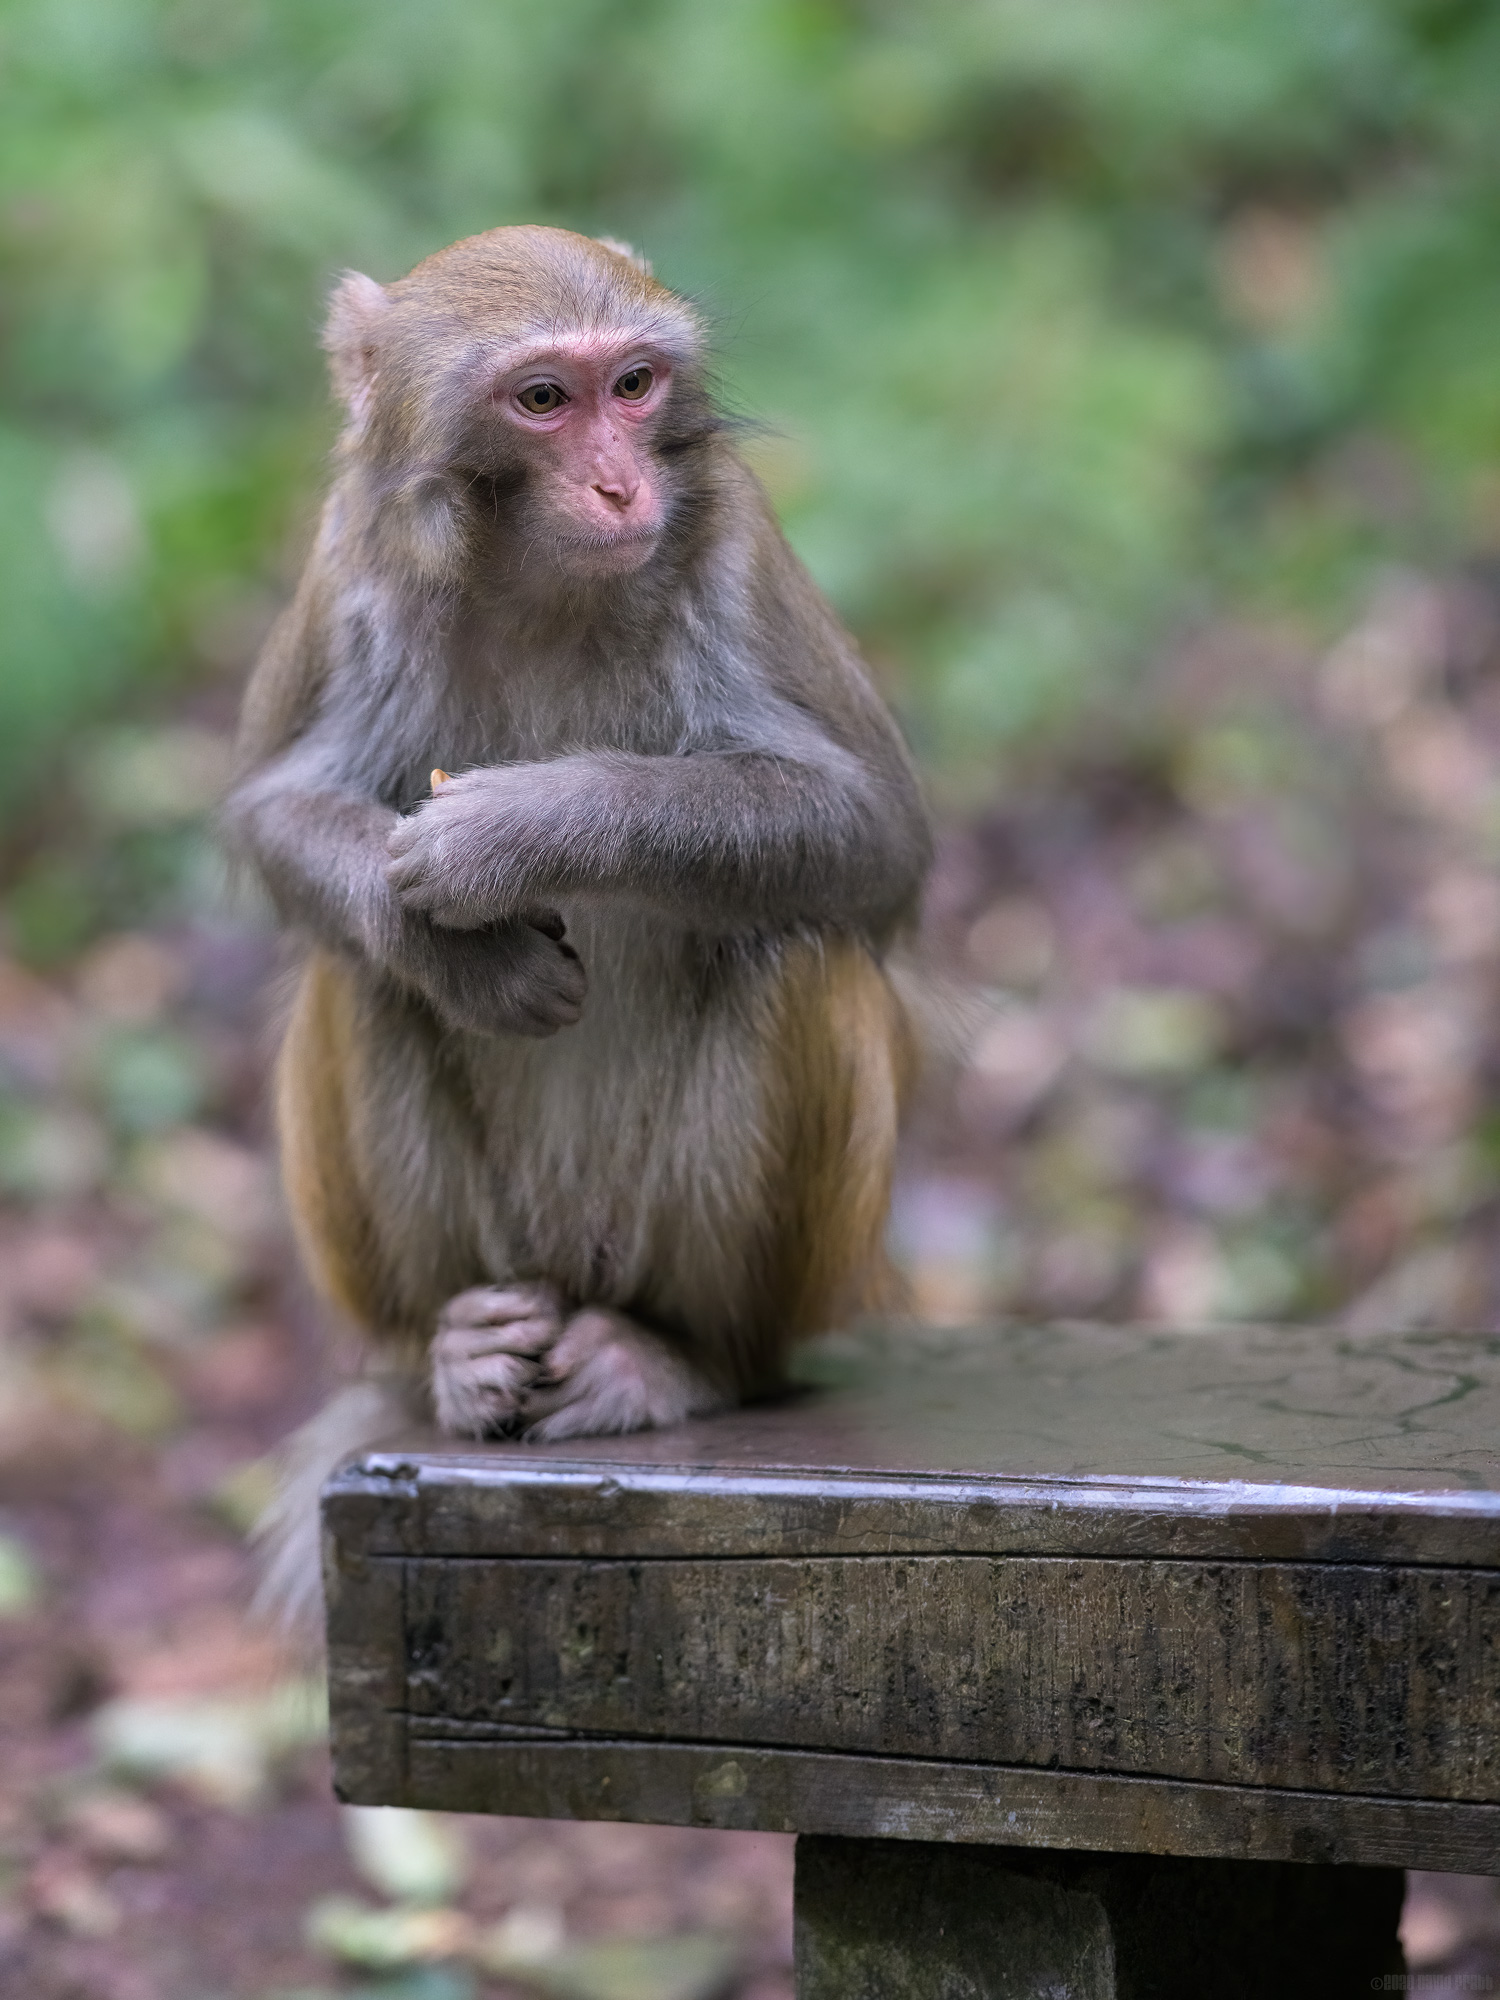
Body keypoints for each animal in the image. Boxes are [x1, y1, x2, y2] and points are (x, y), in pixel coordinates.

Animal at [226, 226, 931, 1627]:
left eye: (637, 386)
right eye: (545, 398)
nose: (619, 487)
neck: (536, 581)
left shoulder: (736, 547)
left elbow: (874, 840)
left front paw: (527, 824)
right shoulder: (351, 563)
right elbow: (278, 814)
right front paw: (464, 948)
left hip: (737, 1269)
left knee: (793, 946)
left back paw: (685, 1358)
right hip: (503, 1249)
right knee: (357, 972)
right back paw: (454, 1346)